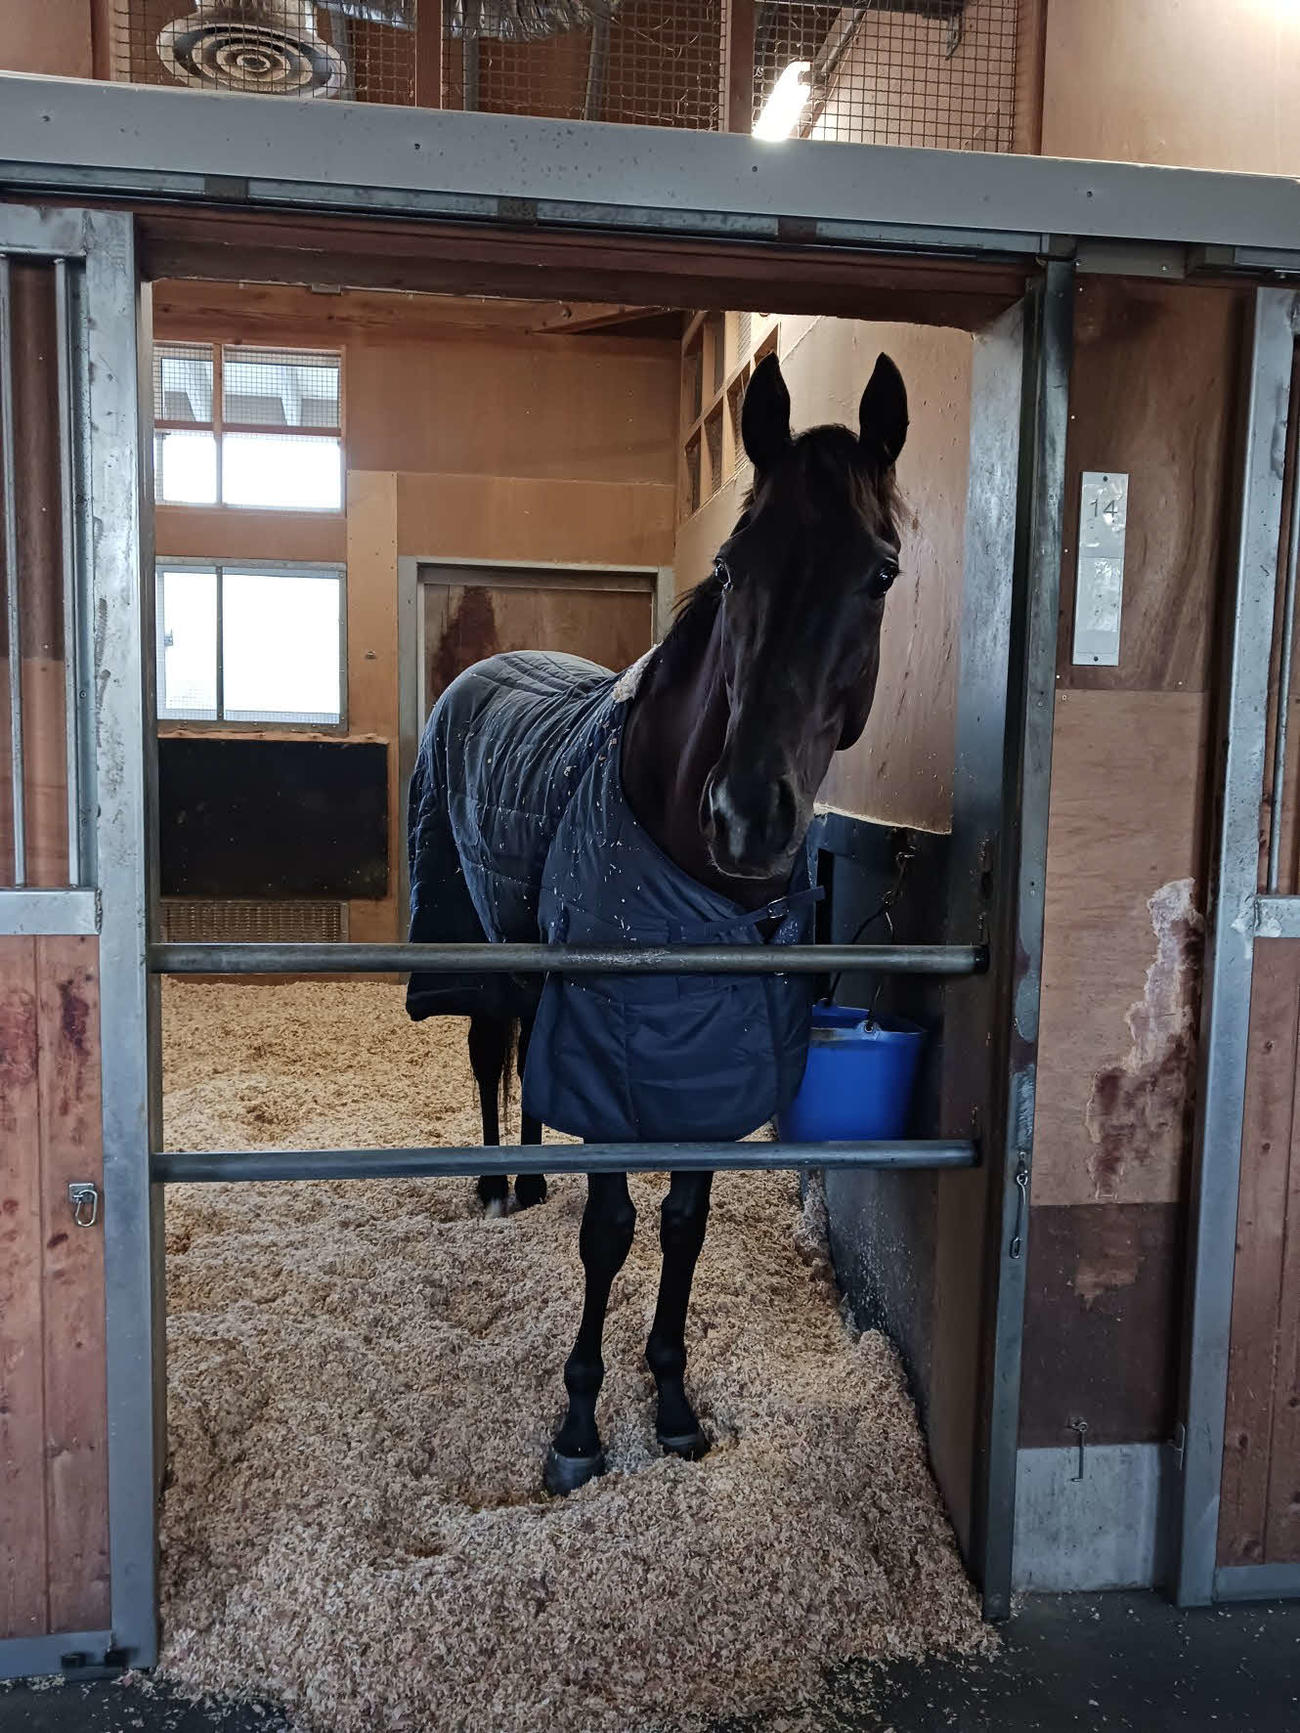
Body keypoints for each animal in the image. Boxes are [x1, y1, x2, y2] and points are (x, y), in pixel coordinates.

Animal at [405, 350, 908, 1494]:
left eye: (879, 573)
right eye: (731, 564)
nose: (749, 814)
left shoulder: (707, 1058)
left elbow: (682, 1224)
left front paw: (673, 1404)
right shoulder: (616, 1049)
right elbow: (611, 1228)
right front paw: (579, 1424)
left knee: (518, 1048)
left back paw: (529, 1179)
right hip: (478, 935)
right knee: (488, 1047)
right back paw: (497, 1187)